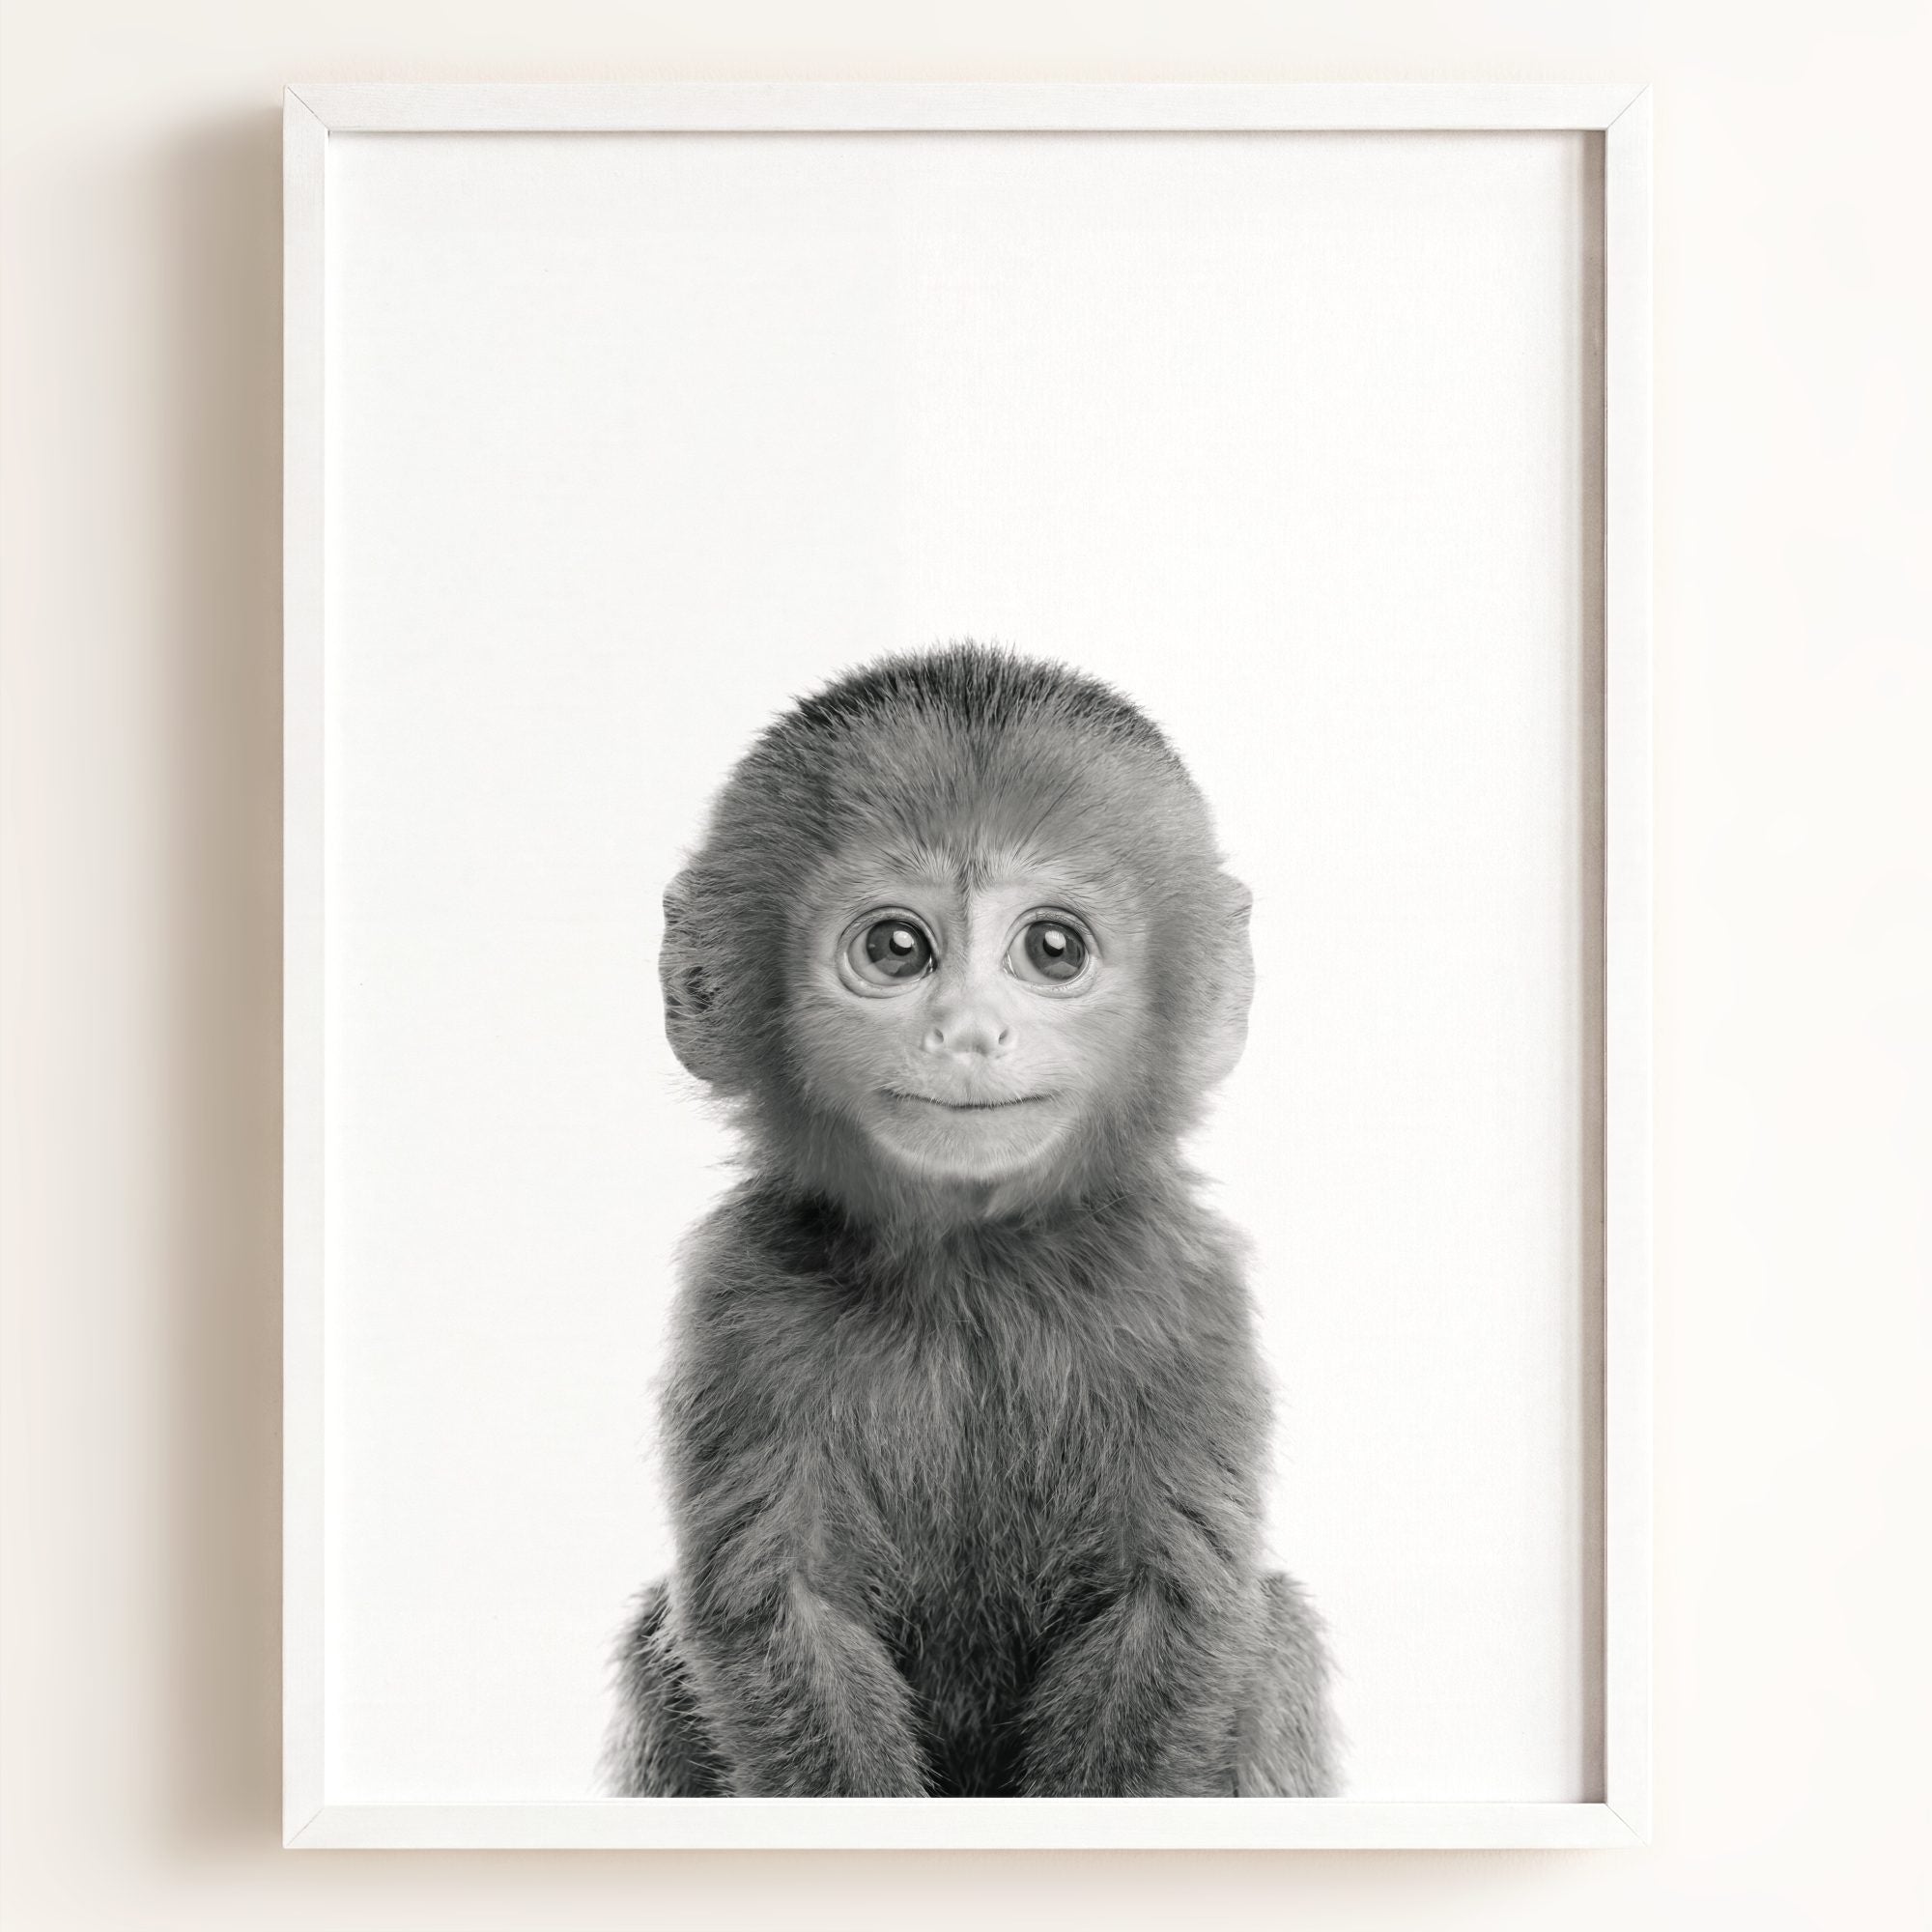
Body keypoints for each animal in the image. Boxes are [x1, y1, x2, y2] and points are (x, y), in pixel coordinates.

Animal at [603, 643, 1337, 1798]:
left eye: (1053, 948)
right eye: (898, 947)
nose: (969, 1031)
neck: (972, 1269)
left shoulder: (1184, 1288)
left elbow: (1171, 1605)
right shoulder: (739, 1296)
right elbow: (779, 1610)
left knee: (1279, 1634)